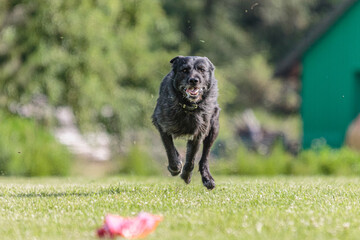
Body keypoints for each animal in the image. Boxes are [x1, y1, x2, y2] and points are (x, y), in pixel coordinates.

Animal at [152, 56, 219, 189]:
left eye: (202, 69)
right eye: (184, 70)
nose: (194, 80)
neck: (188, 106)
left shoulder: (198, 133)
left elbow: (191, 158)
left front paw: (186, 175)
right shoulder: (162, 126)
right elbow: (170, 150)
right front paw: (175, 168)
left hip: (213, 128)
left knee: (205, 156)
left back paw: (207, 178)